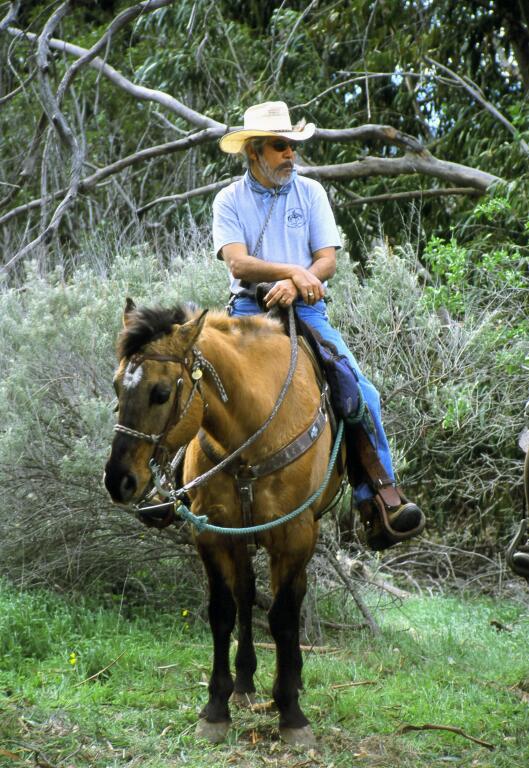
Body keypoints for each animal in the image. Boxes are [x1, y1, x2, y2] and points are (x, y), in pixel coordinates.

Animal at [104, 298, 344, 744]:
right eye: (116, 387)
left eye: (161, 393)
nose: (118, 480)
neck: (253, 432)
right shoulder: (211, 533)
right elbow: (222, 611)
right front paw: (216, 707)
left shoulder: (294, 534)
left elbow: (283, 617)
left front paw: (291, 712)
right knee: (246, 595)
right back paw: (245, 683)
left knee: (290, 598)